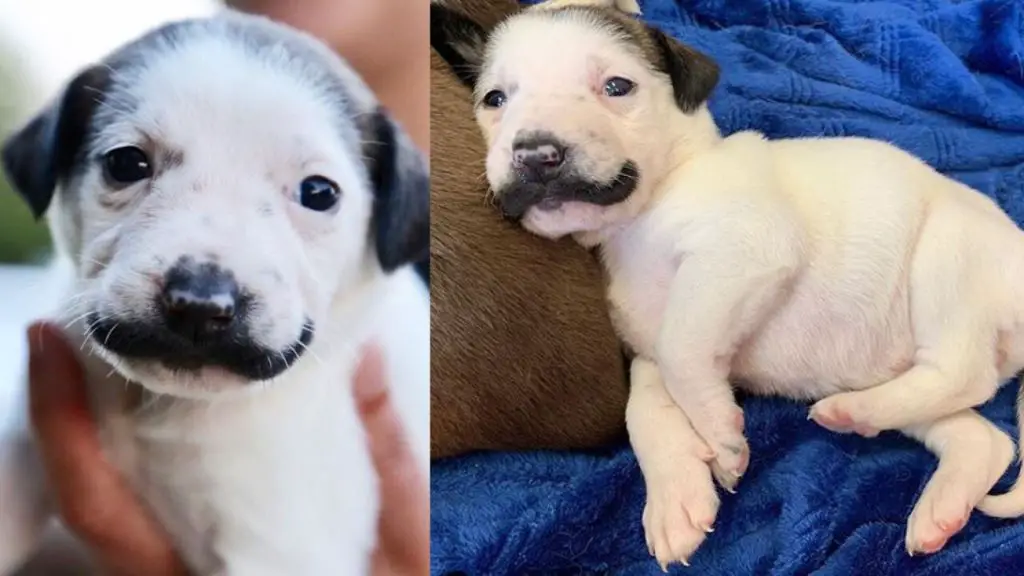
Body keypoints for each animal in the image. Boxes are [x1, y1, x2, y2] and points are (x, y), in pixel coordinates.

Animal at [432, 1, 1024, 565]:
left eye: (617, 87)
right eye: (494, 99)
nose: (535, 154)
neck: (639, 220)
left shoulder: (741, 252)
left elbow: (681, 351)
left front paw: (719, 435)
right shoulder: (644, 343)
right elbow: (644, 405)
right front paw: (677, 496)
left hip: (948, 259)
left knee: (963, 372)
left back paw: (855, 413)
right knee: (985, 439)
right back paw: (925, 488)